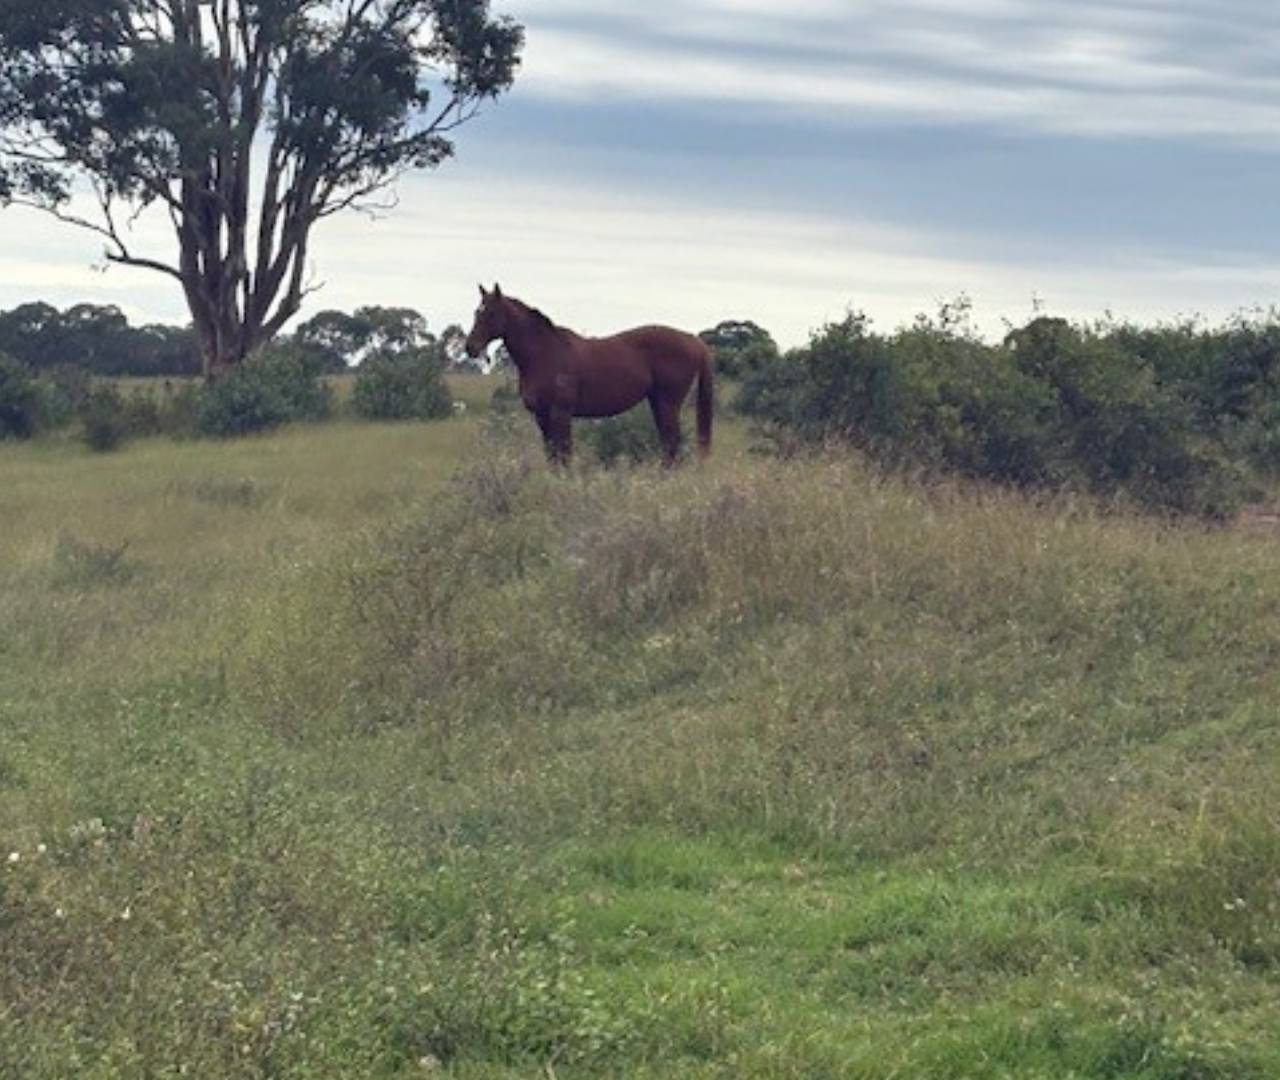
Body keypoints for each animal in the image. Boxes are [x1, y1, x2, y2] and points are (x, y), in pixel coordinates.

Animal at [464, 284, 713, 465]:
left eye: (491, 313)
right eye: (477, 312)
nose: (470, 347)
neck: (543, 353)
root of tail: (693, 340)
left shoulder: (560, 414)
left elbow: (564, 454)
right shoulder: (541, 416)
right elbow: (551, 455)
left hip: (668, 403)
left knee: (672, 444)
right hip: (657, 402)